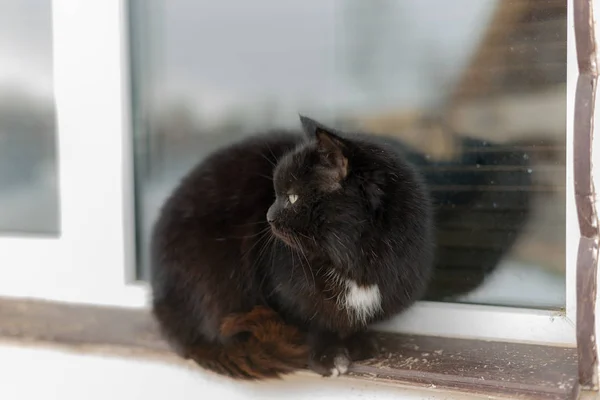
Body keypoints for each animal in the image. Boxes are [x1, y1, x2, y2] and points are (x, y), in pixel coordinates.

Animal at [149, 115, 432, 378]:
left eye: (293, 197)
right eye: (275, 193)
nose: (267, 216)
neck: (350, 262)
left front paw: (358, 343)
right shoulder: (284, 293)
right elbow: (313, 322)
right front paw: (328, 355)